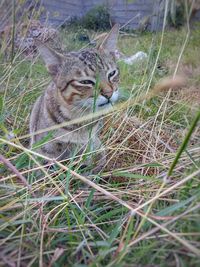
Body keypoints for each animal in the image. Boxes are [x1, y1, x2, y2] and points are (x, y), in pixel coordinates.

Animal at [29, 24, 120, 173]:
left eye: (112, 73)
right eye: (85, 82)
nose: (109, 93)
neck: (79, 119)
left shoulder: (88, 148)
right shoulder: (43, 152)